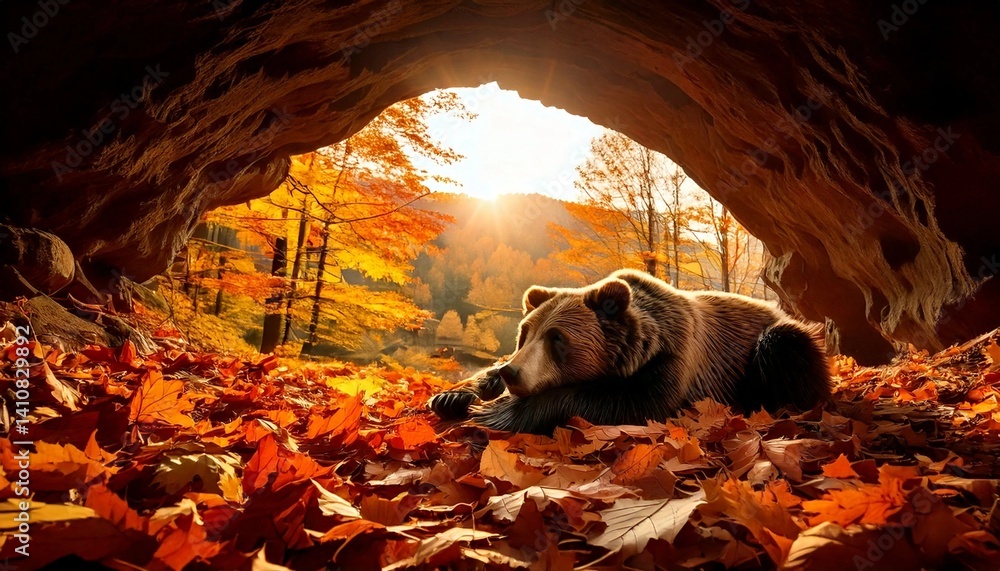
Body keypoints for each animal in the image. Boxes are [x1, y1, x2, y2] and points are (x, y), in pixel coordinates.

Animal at [428, 269, 832, 435]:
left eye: (557, 338)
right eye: (524, 334)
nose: (513, 373)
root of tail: (781, 309)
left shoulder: (675, 358)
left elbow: (633, 404)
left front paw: (496, 412)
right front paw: (452, 396)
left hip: (775, 344)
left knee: (783, 347)